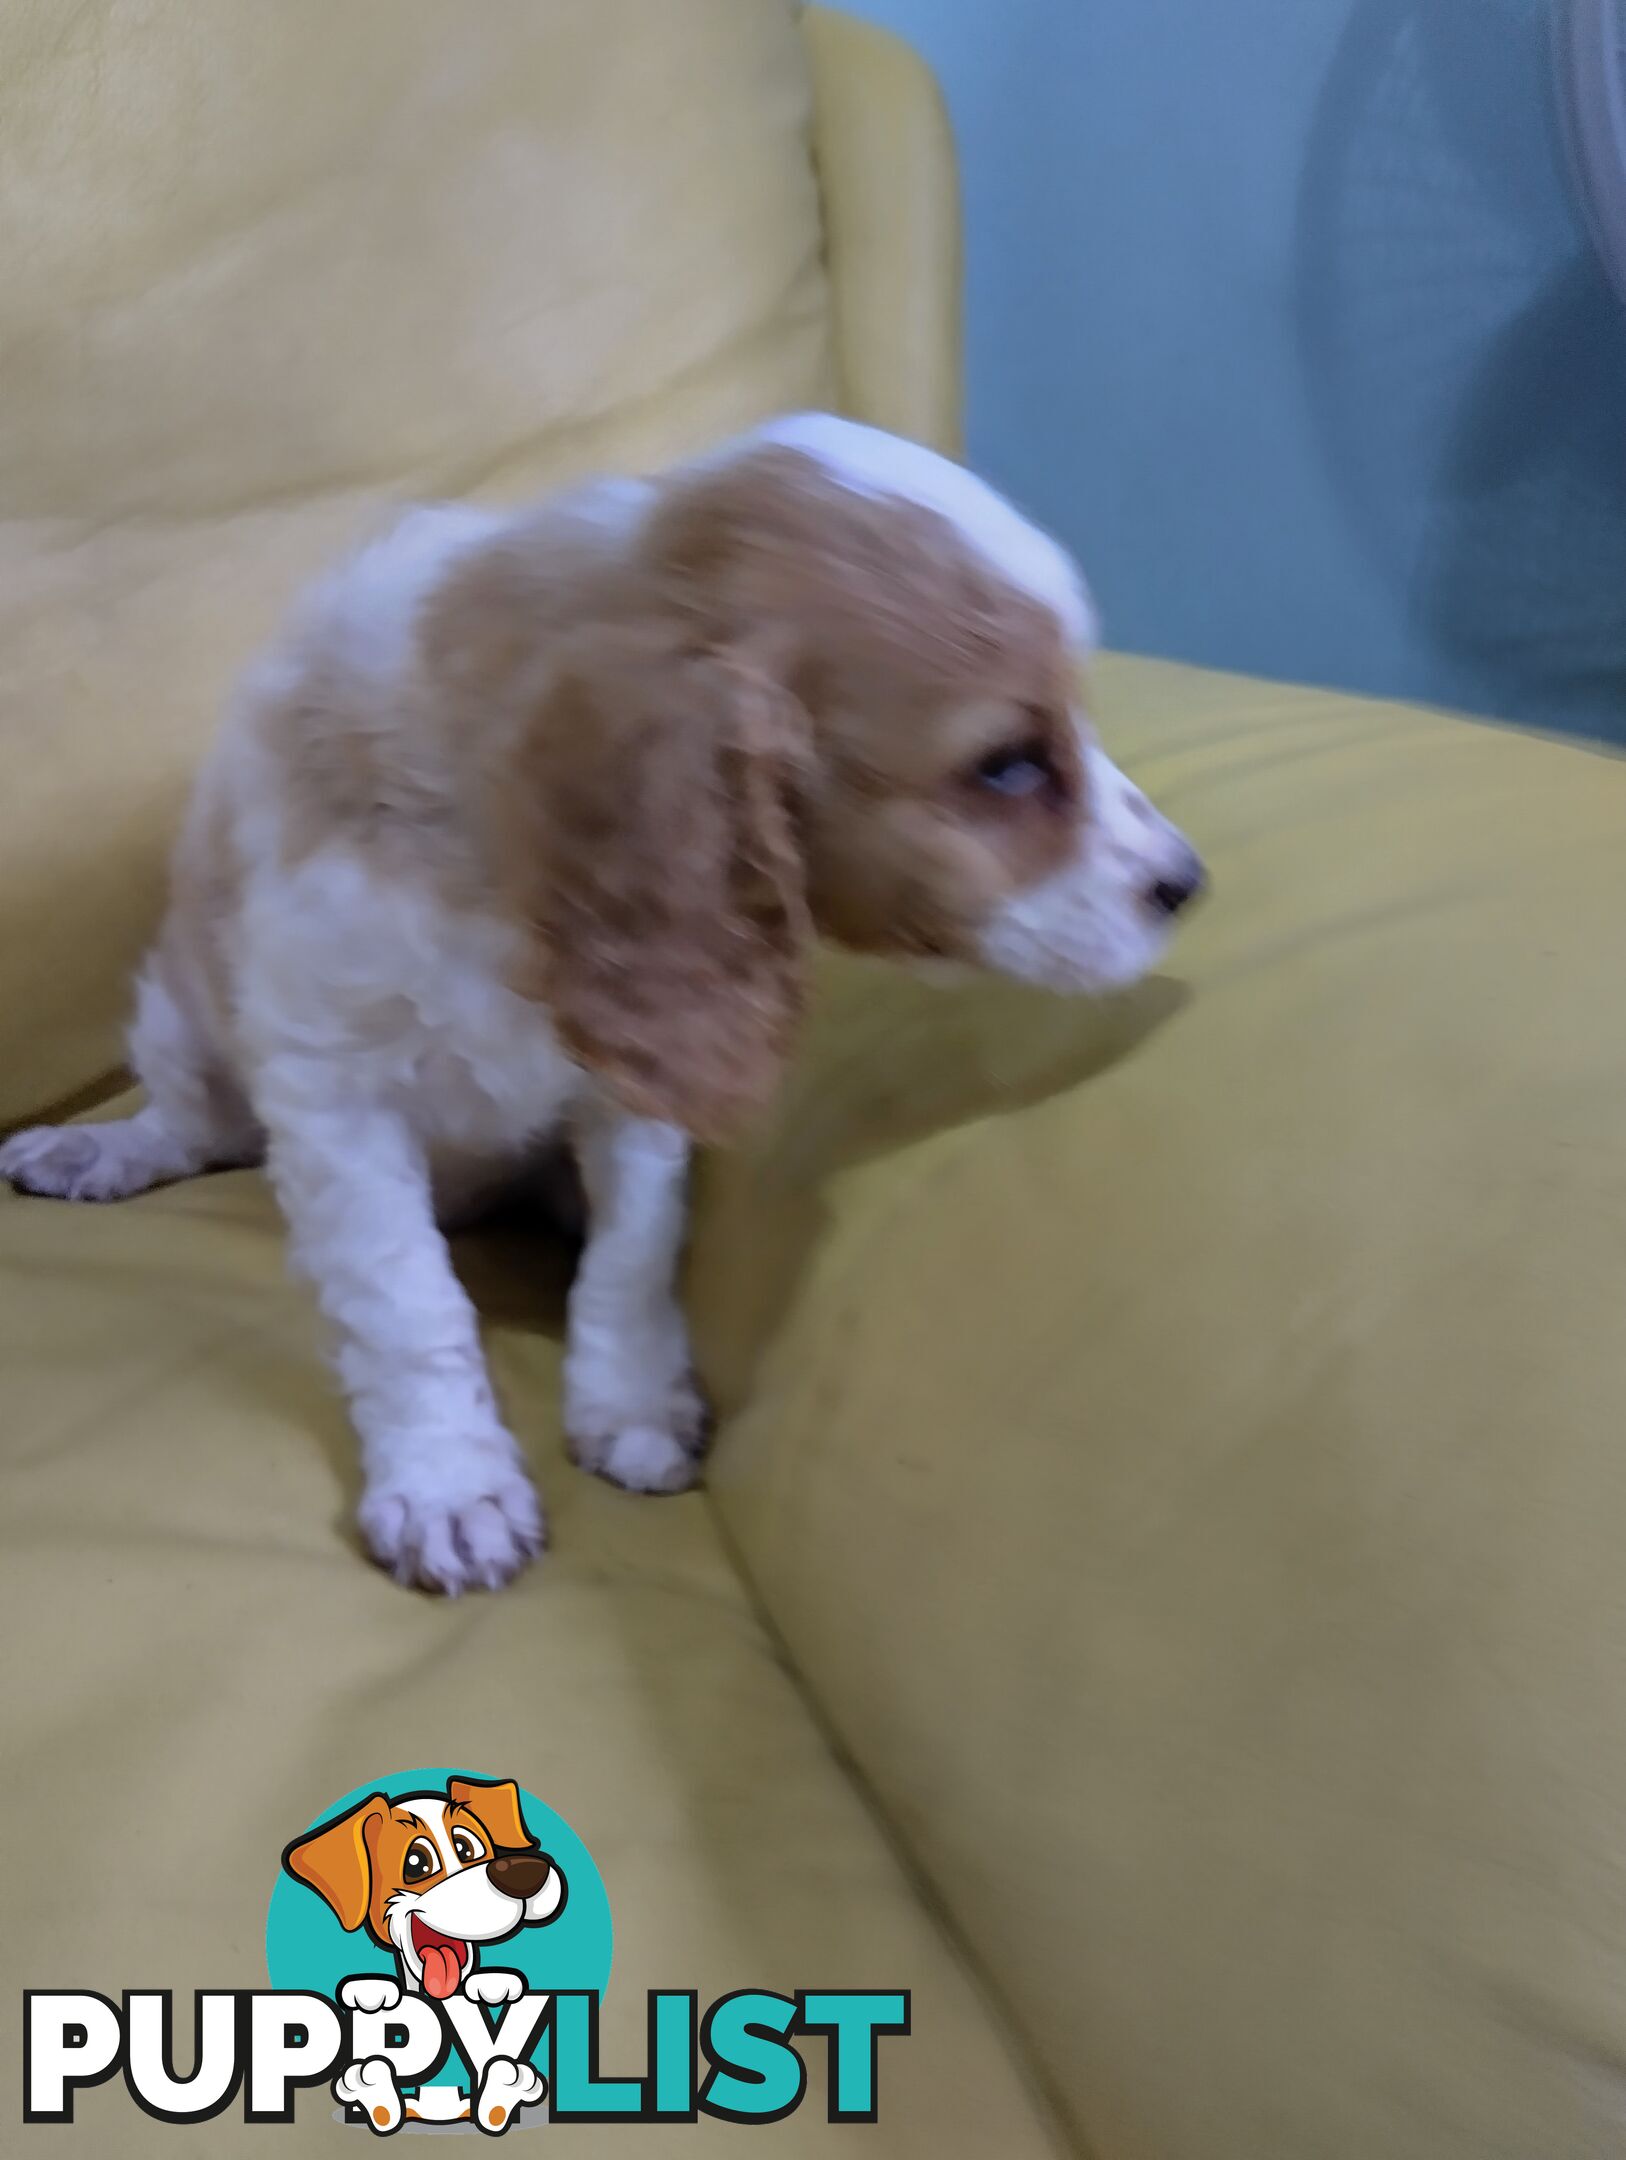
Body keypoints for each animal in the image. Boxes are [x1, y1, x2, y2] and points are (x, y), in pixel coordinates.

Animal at [0, 412, 1200, 1589]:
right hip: (178, 1014)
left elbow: (632, 1254)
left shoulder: (633, 1090)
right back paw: (101, 1150)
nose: (1189, 884)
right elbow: (406, 1301)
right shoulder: (333, 1087)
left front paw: (631, 1405)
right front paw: (450, 1482)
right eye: (1005, 765)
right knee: (195, 1126)